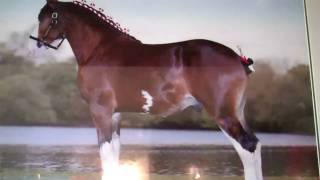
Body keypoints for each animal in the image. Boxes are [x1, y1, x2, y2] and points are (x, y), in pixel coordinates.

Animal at [31, 0, 262, 179]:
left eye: (44, 16)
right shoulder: (115, 114)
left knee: (247, 147)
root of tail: (238, 58)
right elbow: (114, 154)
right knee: (256, 145)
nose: (39, 42)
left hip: (224, 114)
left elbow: (105, 155)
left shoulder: (100, 111)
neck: (99, 49)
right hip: (238, 112)